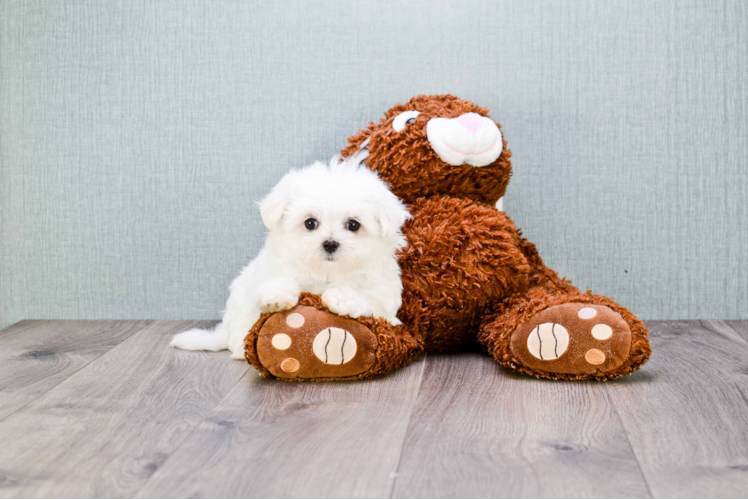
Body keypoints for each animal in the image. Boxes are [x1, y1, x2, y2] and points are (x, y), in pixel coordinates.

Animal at [169, 156, 410, 360]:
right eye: (310, 223)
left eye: (353, 225)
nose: (330, 243)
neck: (326, 273)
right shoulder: (274, 269)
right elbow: (281, 281)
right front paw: (277, 296)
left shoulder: (384, 298)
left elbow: (367, 300)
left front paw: (341, 298)